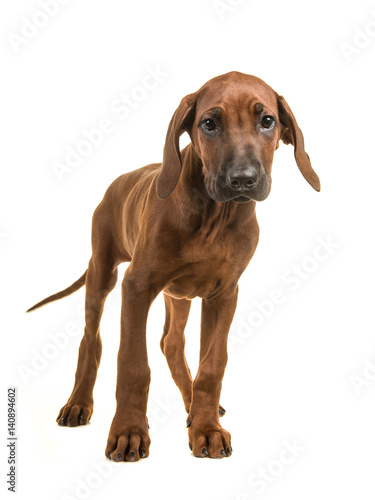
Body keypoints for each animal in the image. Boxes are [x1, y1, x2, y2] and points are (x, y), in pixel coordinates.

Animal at [27, 70, 320, 460]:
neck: (214, 218)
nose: (243, 179)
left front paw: (206, 428)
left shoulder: (224, 294)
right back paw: (78, 403)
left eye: (268, 121)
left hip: (178, 295)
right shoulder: (136, 287)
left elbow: (212, 365)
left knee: (171, 342)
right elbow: (133, 364)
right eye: (209, 124)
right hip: (103, 272)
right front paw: (129, 432)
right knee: (91, 341)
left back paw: (192, 406)